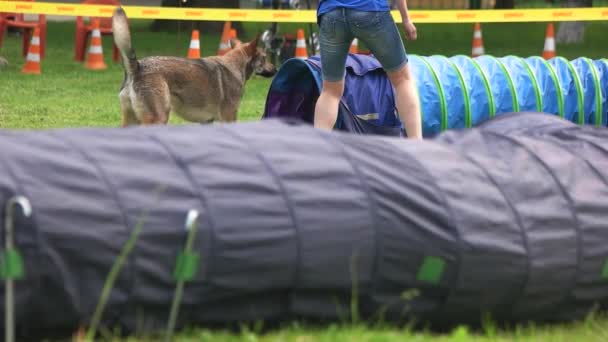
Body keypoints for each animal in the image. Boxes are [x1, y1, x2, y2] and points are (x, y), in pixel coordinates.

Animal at [111, 7, 278, 126]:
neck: (235, 66)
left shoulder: (207, 122)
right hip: (158, 119)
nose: (276, 69)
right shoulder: (229, 117)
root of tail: (137, 67)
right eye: (265, 57)